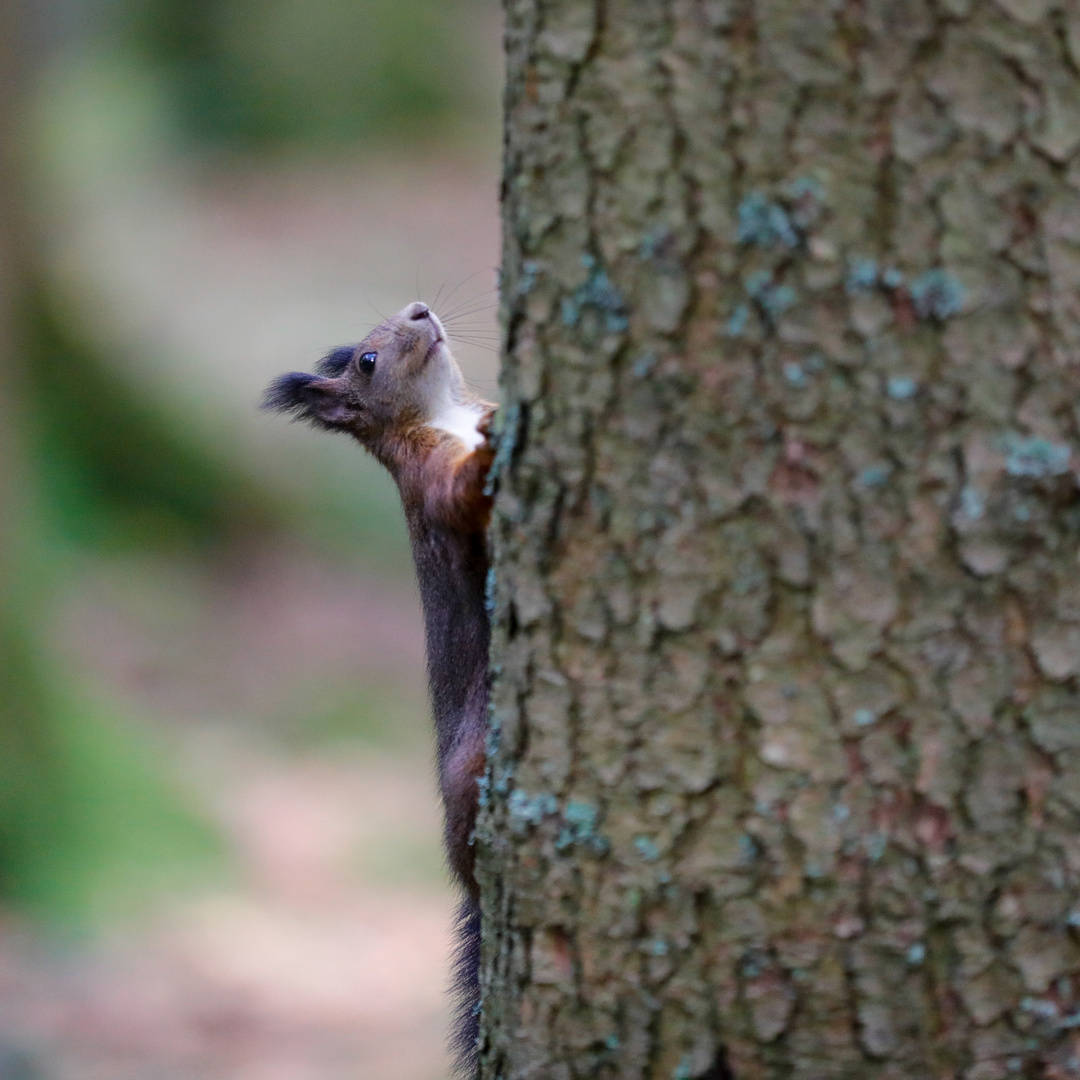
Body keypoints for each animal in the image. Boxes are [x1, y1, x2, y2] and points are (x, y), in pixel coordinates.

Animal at [263, 300, 494, 1075]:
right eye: (367, 361)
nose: (420, 310)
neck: (447, 411)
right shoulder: (428, 479)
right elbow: (460, 495)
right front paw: (492, 453)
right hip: (471, 770)